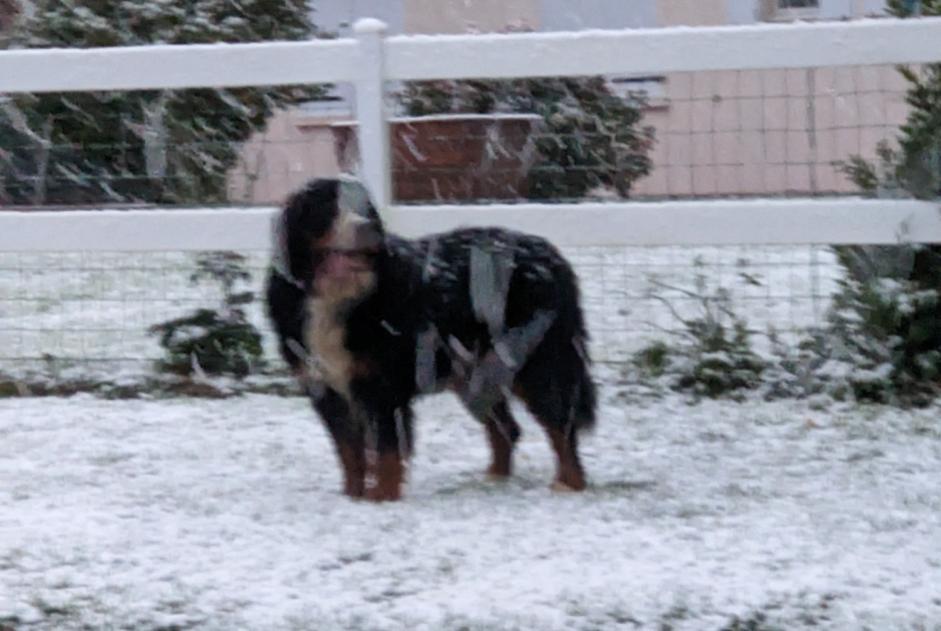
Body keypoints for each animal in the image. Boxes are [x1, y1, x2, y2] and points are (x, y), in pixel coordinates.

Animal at [266, 179, 596, 504]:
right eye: (328, 207)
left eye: (367, 209)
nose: (368, 227)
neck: (336, 296)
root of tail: (551, 255)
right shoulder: (324, 387)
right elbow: (349, 451)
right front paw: (352, 496)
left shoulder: (382, 387)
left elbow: (387, 449)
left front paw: (381, 498)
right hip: (474, 374)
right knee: (507, 429)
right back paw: (494, 481)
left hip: (536, 362)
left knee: (562, 426)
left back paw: (569, 484)